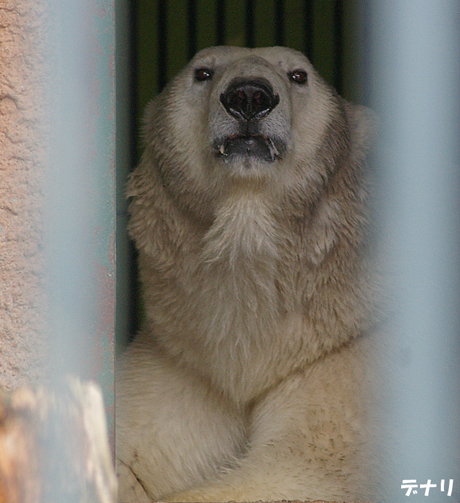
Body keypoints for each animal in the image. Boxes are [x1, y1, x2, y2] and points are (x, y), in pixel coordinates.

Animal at [117, 47, 382, 503]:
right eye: (203, 72)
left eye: (299, 75)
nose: (249, 96)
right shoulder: (185, 361)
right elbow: (135, 454)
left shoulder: (349, 354)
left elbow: (310, 471)